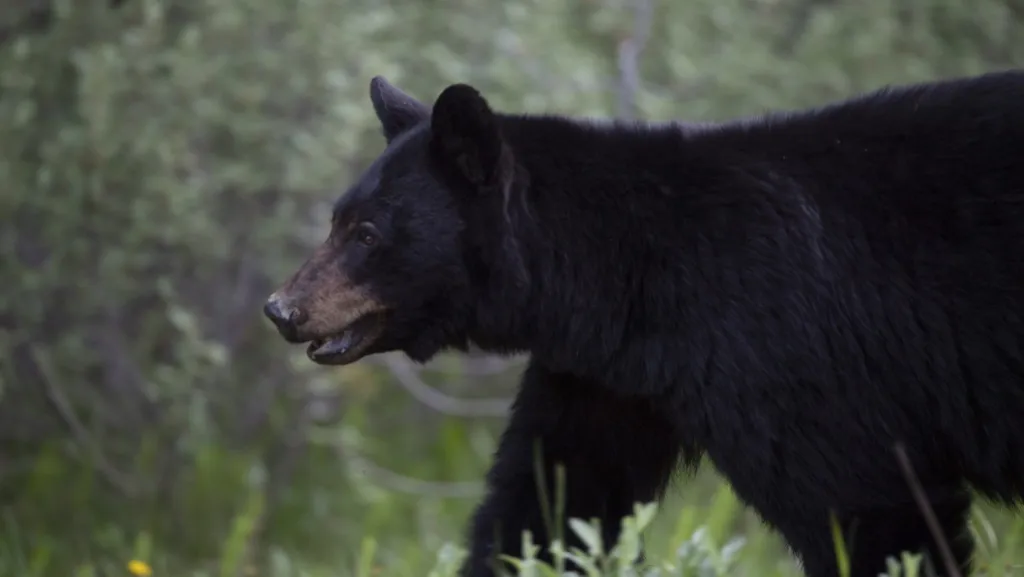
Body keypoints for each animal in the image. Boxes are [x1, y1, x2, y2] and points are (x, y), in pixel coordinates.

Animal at [263, 69, 1024, 577]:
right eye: (337, 219)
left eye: (366, 233)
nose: (280, 309)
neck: (629, 276)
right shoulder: (607, 377)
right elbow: (551, 501)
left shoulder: (782, 347)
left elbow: (866, 503)